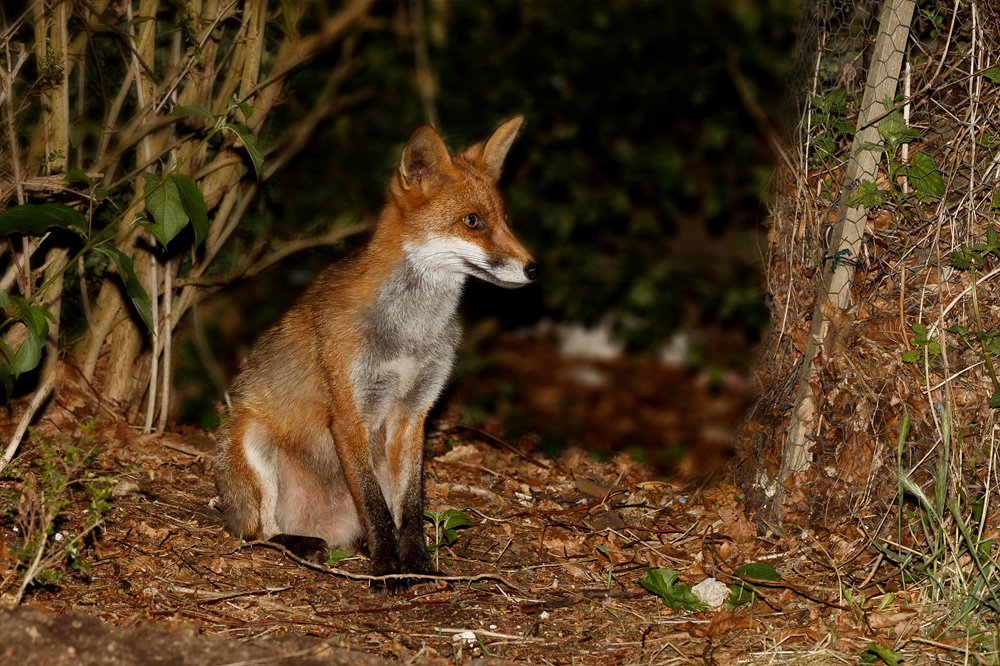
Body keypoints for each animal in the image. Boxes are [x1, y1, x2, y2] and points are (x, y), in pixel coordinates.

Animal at [214, 116, 537, 579]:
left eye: (506, 219)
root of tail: (321, 526)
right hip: (249, 436)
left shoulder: (412, 414)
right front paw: (387, 570)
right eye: (473, 221)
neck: (411, 333)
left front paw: (416, 564)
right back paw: (301, 543)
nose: (533, 268)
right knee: (259, 532)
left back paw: (358, 545)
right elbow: (375, 506)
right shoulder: (350, 416)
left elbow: (408, 507)